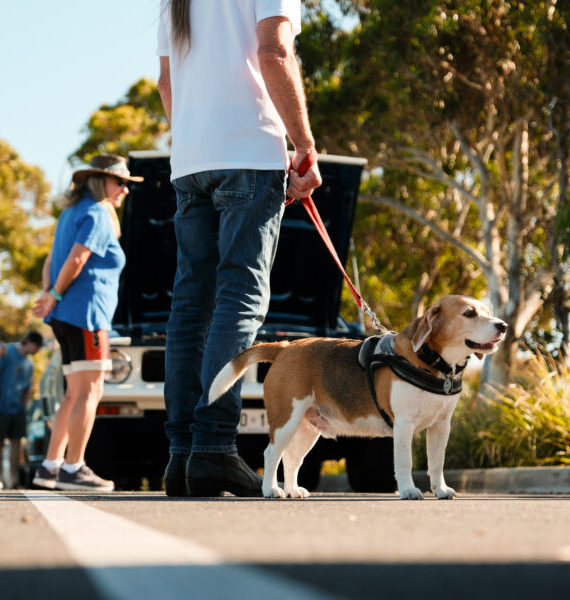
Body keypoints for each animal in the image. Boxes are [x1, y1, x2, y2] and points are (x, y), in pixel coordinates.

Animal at [209, 294, 506, 496]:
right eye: (469, 313)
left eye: (487, 311)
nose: (503, 326)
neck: (432, 363)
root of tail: (285, 346)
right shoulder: (404, 425)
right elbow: (405, 461)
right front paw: (409, 491)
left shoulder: (441, 427)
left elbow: (436, 463)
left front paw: (441, 490)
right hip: (285, 420)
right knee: (271, 453)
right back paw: (271, 490)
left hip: (307, 427)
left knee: (292, 459)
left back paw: (293, 490)